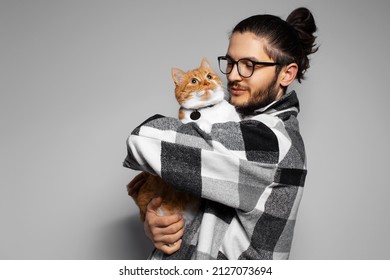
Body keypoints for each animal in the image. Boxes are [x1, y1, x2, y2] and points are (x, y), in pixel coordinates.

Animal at [130, 58, 241, 226]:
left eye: (209, 76)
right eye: (194, 81)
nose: (207, 83)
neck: (209, 109)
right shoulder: (186, 122)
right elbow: (194, 123)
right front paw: (204, 124)